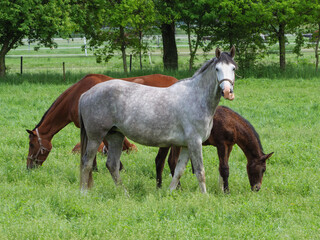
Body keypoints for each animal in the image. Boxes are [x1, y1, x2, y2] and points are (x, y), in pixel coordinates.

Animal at [79, 46, 236, 193]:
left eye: (233, 68)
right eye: (217, 69)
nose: (227, 91)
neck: (196, 97)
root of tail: (86, 94)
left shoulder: (186, 145)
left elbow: (178, 171)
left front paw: (169, 192)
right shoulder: (195, 142)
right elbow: (200, 172)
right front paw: (204, 196)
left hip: (115, 135)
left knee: (112, 165)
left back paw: (124, 194)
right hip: (95, 137)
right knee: (87, 162)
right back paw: (84, 193)